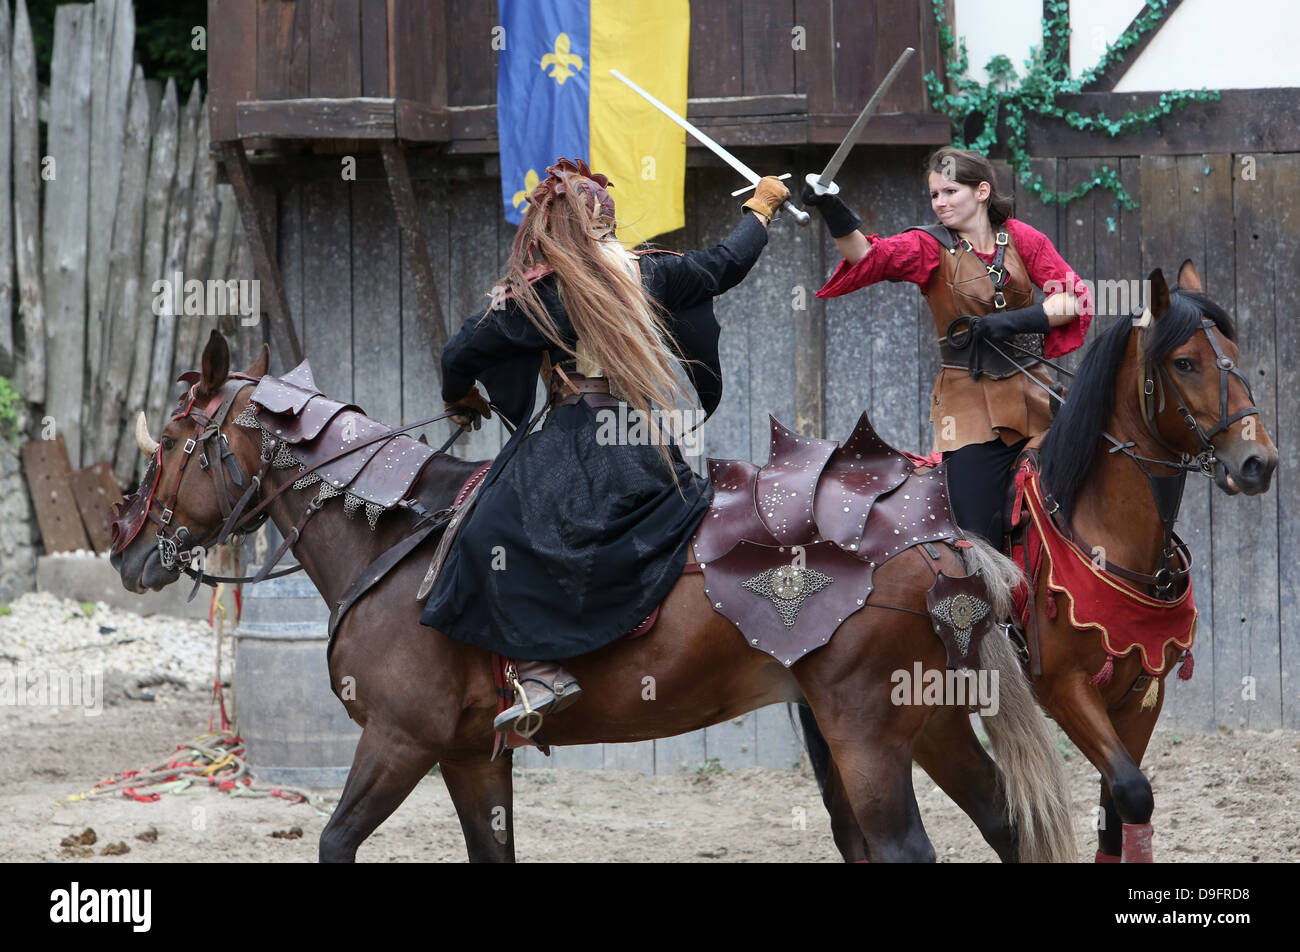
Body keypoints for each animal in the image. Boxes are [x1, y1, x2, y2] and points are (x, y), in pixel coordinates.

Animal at [114, 327, 1076, 863]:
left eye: (175, 437)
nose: (127, 549)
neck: (391, 535)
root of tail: (935, 533)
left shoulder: (399, 741)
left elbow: (335, 841)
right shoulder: (469, 756)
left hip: (868, 734)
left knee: (907, 846)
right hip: (928, 723)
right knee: (1004, 826)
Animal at [795, 262, 1274, 863]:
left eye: (1232, 350)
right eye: (1185, 362)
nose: (1259, 463)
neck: (1103, 530)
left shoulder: (1142, 695)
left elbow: (1118, 813)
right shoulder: (1066, 688)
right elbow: (1132, 790)